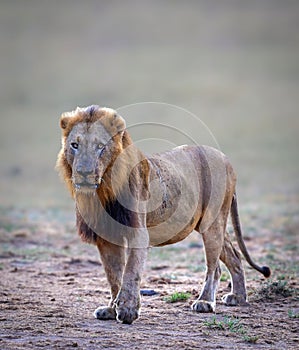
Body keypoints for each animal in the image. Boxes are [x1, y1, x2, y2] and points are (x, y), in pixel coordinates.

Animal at [56, 104, 272, 326]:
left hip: (212, 223)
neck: (104, 189)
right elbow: (114, 275)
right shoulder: (105, 236)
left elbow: (130, 271)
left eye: (100, 146)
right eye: (74, 145)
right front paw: (111, 308)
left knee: (215, 267)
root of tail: (226, 159)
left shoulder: (138, 231)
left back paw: (205, 302)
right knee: (234, 256)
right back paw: (238, 297)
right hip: (211, 224)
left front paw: (127, 310)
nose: (84, 173)